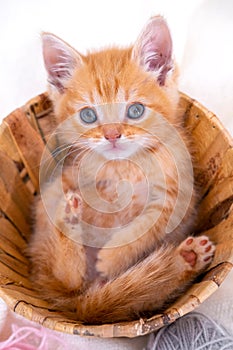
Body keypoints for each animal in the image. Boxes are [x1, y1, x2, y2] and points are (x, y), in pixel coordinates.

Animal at [27, 15, 215, 322]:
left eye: (135, 110)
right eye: (88, 115)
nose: (112, 135)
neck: (125, 167)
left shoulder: (179, 197)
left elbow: (149, 225)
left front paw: (113, 256)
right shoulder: (74, 174)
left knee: (136, 294)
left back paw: (185, 260)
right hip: (50, 205)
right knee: (68, 278)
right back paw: (69, 219)